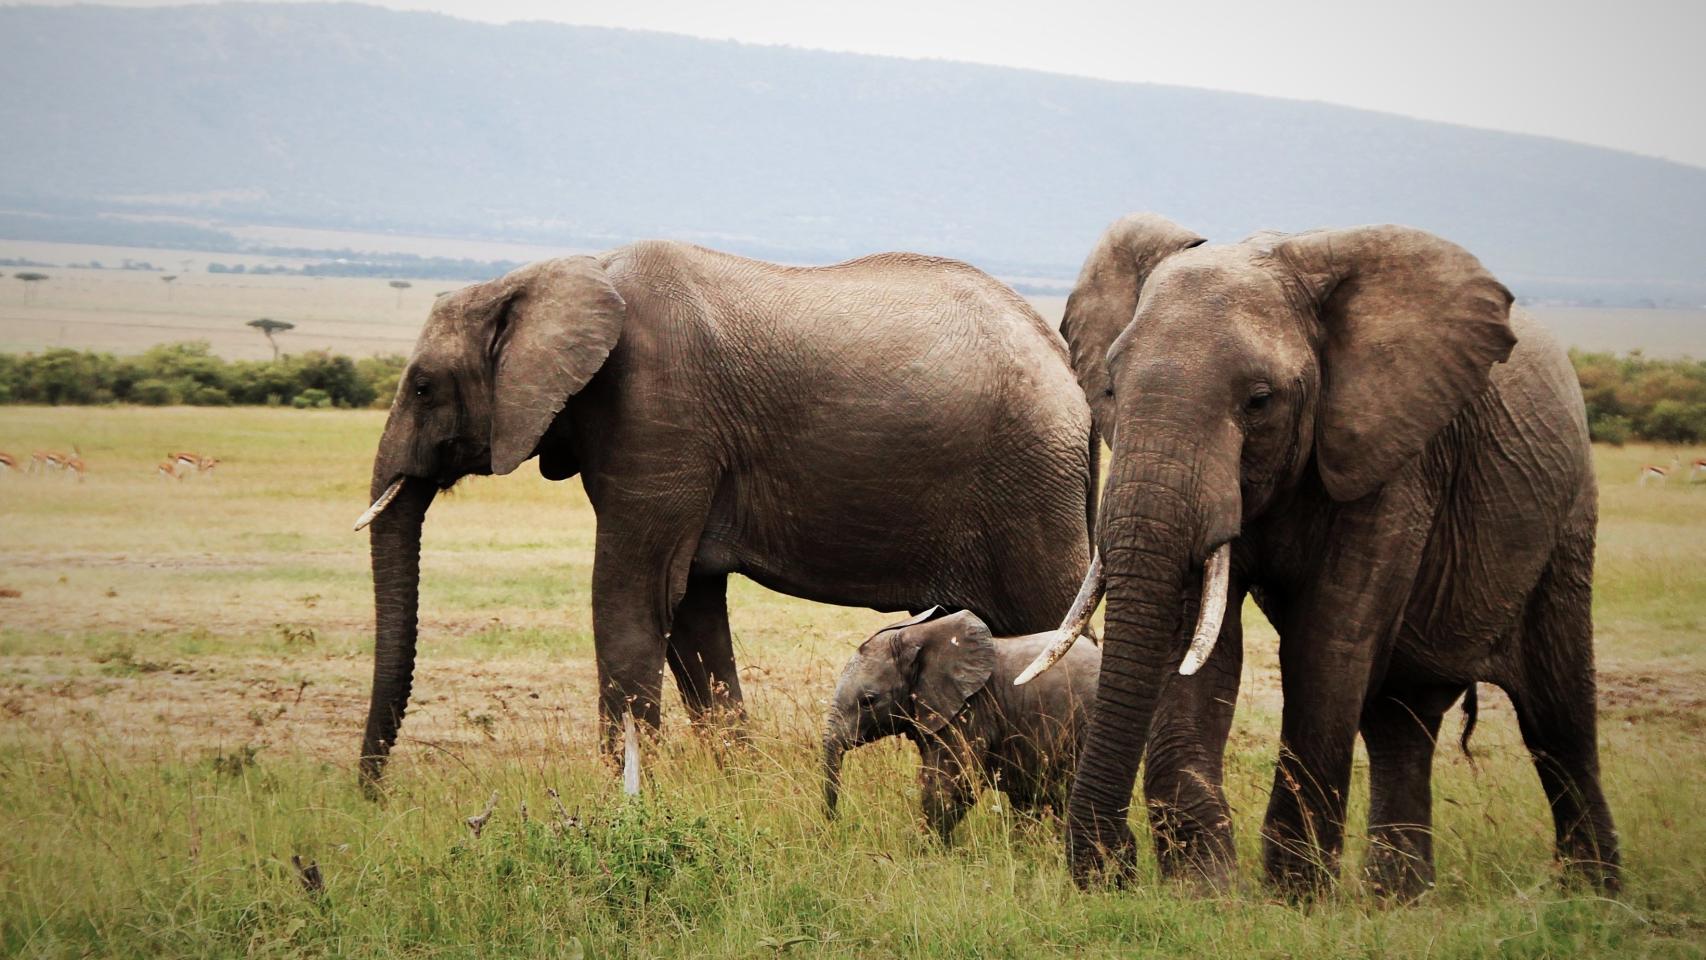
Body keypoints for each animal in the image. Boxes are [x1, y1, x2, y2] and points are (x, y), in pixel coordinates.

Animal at [355, 241, 1095, 787]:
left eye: (422, 387)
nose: (372, 796)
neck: (563, 272)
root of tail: (1065, 365)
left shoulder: (655, 409)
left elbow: (632, 600)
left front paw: (623, 795)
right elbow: (691, 610)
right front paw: (737, 783)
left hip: (1031, 485)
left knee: (1049, 615)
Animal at [1020, 214, 1619, 897]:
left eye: (1259, 401)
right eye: (1112, 388)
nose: (1114, 865)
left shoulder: (1394, 460)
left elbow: (1328, 641)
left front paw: (1294, 898)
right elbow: (1194, 640)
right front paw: (1205, 891)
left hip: (1567, 522)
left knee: (1558, 721)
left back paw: (1595, 896)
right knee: (1401, 723)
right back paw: (1399, 900)